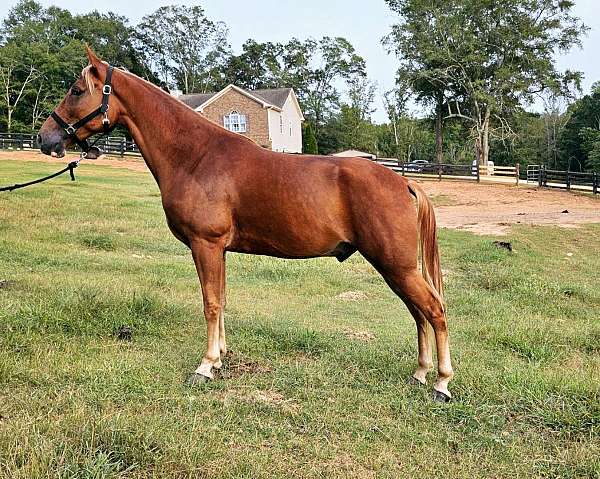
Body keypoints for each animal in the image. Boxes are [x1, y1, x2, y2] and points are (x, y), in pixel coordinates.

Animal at [38, 47, 454, 402]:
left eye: (77, 90)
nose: (45, 137)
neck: (196, 156)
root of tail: (402, 181)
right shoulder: (217, 249)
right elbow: (220, 300)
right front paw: (220, 357)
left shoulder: (206, 244)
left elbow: (210, 302)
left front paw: (205, 366)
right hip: (394, 267)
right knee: (418, 312)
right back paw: (420, 373)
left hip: (396, 265)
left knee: (434, 310)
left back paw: (441, 383)